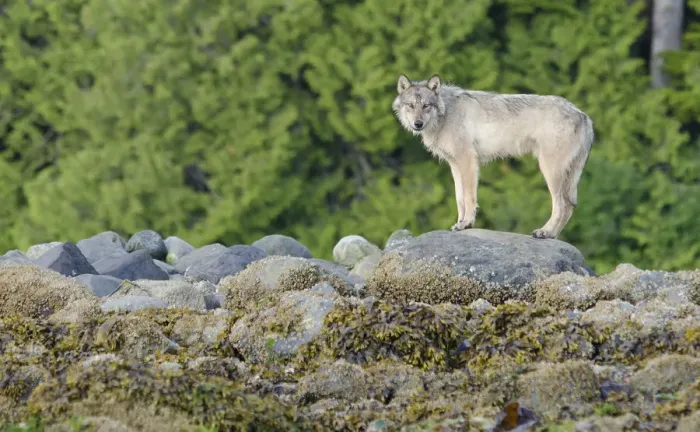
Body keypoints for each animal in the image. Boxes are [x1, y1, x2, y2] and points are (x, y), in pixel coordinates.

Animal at [392, 74, 594, 239]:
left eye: (426, 105)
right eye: (411, 105)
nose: (418, 124)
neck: (446, 113)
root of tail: (584, 115)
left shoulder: (468, 161)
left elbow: (469, 197)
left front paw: (466, 224)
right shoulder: (455, 165)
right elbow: (459, 198)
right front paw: (460, 223)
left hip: (549, 170)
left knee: (562, 205)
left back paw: (545, 232)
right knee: (569, 206)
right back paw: (552, 234)